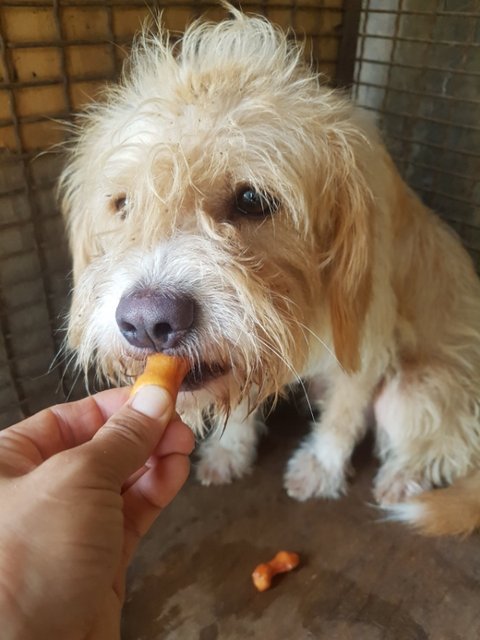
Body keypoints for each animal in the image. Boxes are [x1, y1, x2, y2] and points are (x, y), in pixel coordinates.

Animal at [60, 9, 480, 536]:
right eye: (122, 204)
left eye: (252, 200)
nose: (149, 323)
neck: (304, 299)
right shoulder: (246, 349)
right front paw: (230, 450)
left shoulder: (366, 341)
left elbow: (344, 414)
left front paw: (321, 466)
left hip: (415, 388)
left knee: (446, 444)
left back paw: (404, 476)